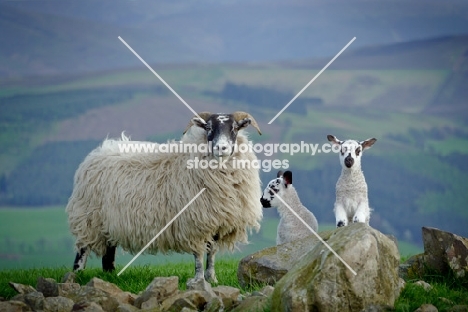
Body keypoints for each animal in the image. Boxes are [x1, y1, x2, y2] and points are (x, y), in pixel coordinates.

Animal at [66, 111, 264, 282]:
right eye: (208, 127)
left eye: (234, 128)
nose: (221, 147)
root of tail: (99, 152)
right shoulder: (195, 223)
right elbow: (199, 254)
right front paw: (199, 279)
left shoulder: (217, 222)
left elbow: (212, 253)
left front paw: (212, 279)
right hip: (89, 218)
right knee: (82, 249)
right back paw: (77, 274)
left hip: (109, 223)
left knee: (108, 253)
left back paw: (110, 276)